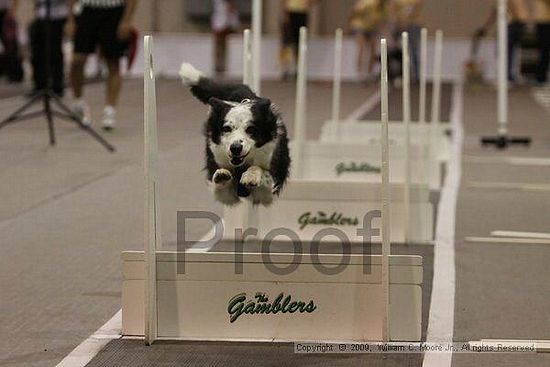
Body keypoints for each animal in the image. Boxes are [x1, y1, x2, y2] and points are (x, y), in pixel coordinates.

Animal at [181, 63, 294, 207]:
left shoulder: (268, 192)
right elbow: (220, 185)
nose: (235, 148)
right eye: (226, 128)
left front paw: (251, 175)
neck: (241, 165)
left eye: (251, 129)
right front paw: (221, 175)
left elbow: (262, 172)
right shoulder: (227, 194)